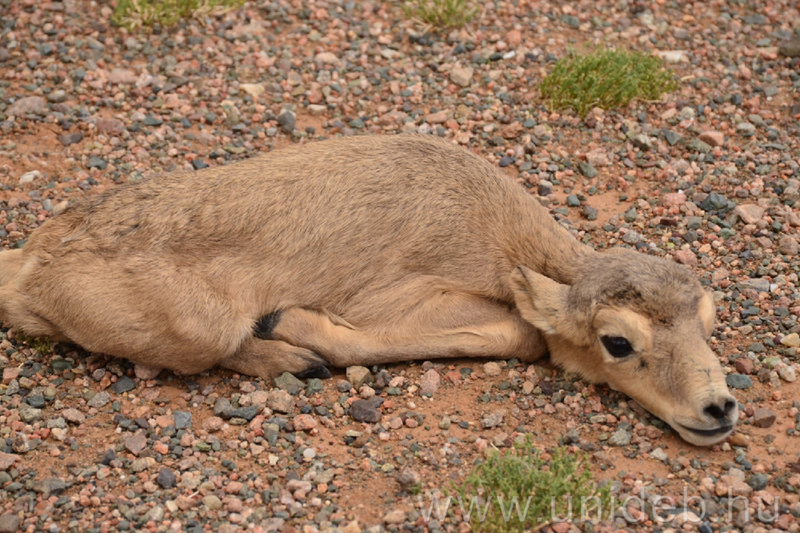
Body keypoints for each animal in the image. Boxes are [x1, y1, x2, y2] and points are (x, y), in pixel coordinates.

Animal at [0, 134, 736, 444]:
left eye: (708, 321)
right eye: (618, 342)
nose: (720, 406)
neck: (496, 232)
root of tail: (30, 260)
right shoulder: (396, 298)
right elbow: (522, 333)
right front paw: (296, 326)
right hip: (196, 326)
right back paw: (286, 353)